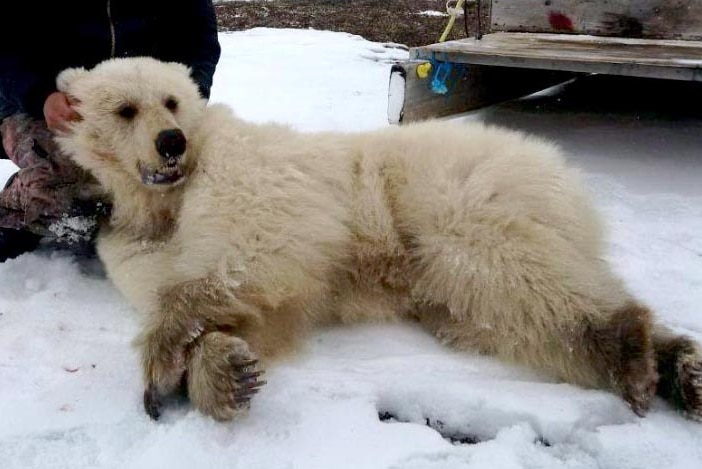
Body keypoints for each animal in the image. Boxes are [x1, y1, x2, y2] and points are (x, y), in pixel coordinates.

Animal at [56, 56, 702, 422]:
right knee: (497, 313)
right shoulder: (132, 241)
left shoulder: (250, 177)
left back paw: (634, 351)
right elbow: (228, 305)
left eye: (172, 101)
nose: (172, 141)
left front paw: (165, 357)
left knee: (509, 278)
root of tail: (558, 168)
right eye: (126, 108)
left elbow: (256, 258)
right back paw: (675, 368)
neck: (167, 202)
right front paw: (223, 374)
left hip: (450, 200)